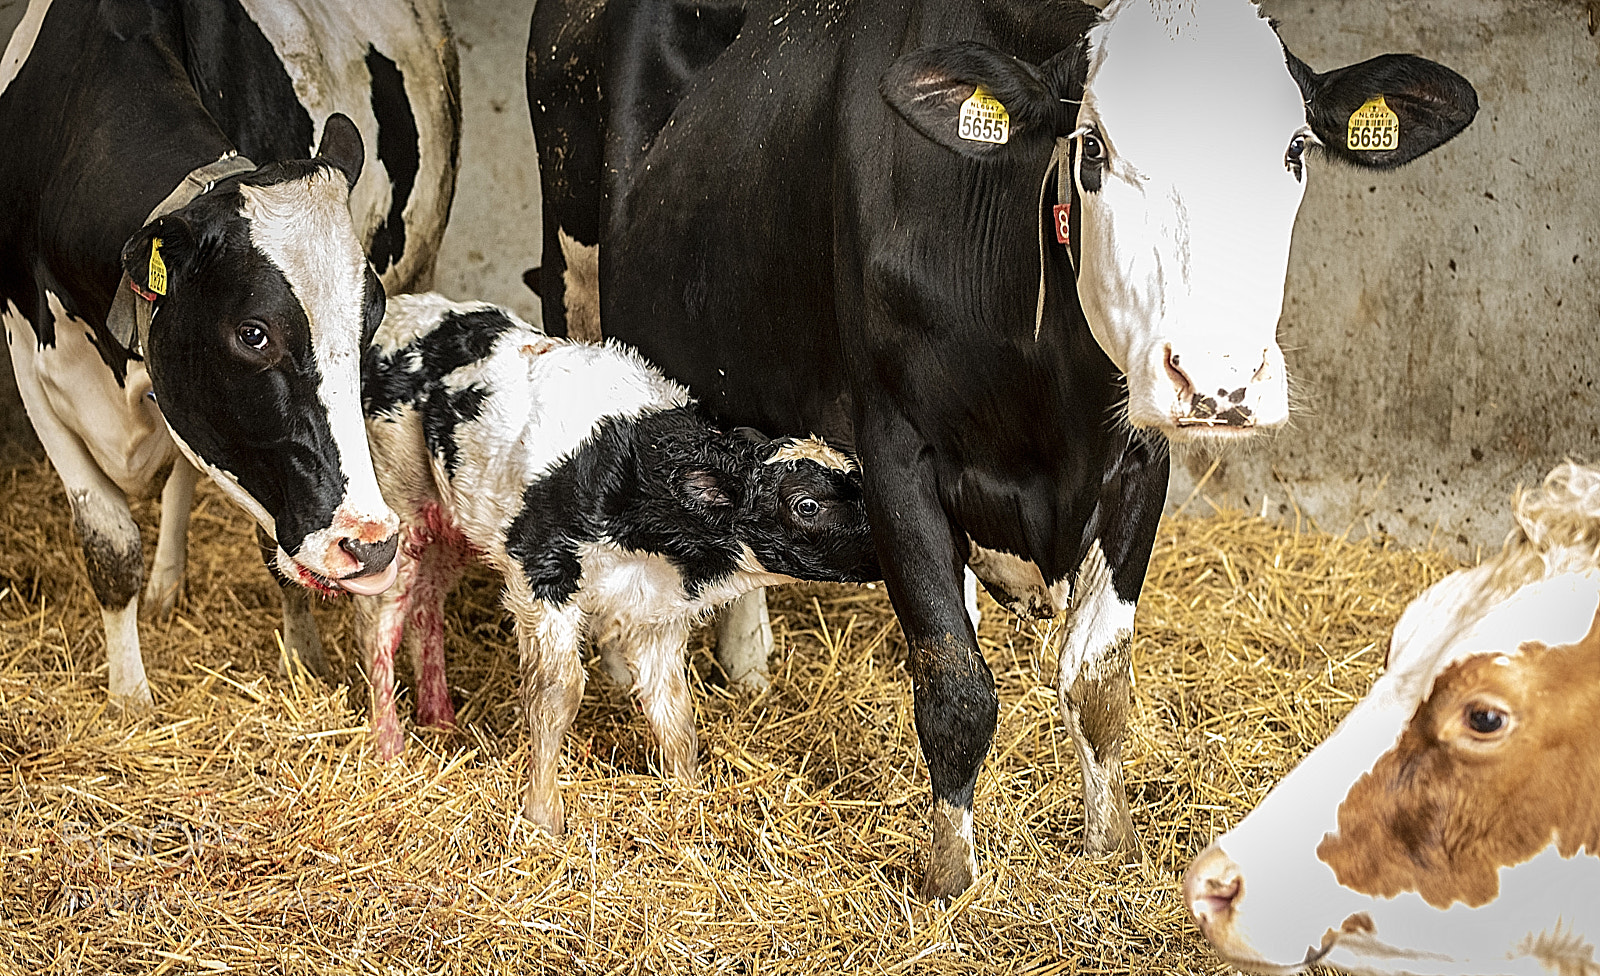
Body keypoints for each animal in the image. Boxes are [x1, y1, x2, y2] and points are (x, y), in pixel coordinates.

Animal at [0, 0, 459, 706]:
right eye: (254, 334)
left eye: (369, 319)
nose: (373, 547)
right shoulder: (29, 360)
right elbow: (109, 544)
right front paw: (129, 696)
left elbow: (274, 551)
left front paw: (305, 660)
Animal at [354, 293, 880, 831]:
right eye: (807, 505)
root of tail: (407, 307)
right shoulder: (543, 576)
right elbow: (556, 694)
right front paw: (543, 816)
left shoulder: (657, 615)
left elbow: (674, 710)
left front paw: (688, 797)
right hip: (400, 515)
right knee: (382, 628)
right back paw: (389, 743)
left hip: (452, 526)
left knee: (427, 608)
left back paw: (439, 717)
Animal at [527, 0, 1478, 898]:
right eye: (1091, 150)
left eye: (1294, 150)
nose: (1219, 380)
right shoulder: (894, 454)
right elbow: (954, 684)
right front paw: (950, 876)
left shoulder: (1138, 462)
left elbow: (1098, 681)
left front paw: (1110, 845)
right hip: (576, 277)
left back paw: (749, 660)